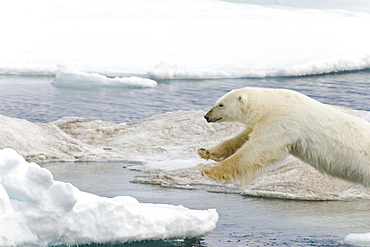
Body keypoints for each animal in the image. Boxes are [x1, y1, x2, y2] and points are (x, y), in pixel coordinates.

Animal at [199, 88, 370, 186]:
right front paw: (206, 152)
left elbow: (255, 151)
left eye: (221, 104)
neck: (270, 105)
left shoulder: (282, 123)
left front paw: (208, 171)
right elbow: (243, 137)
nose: (206, 116)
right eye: (217, 102)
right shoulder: (265, 122)